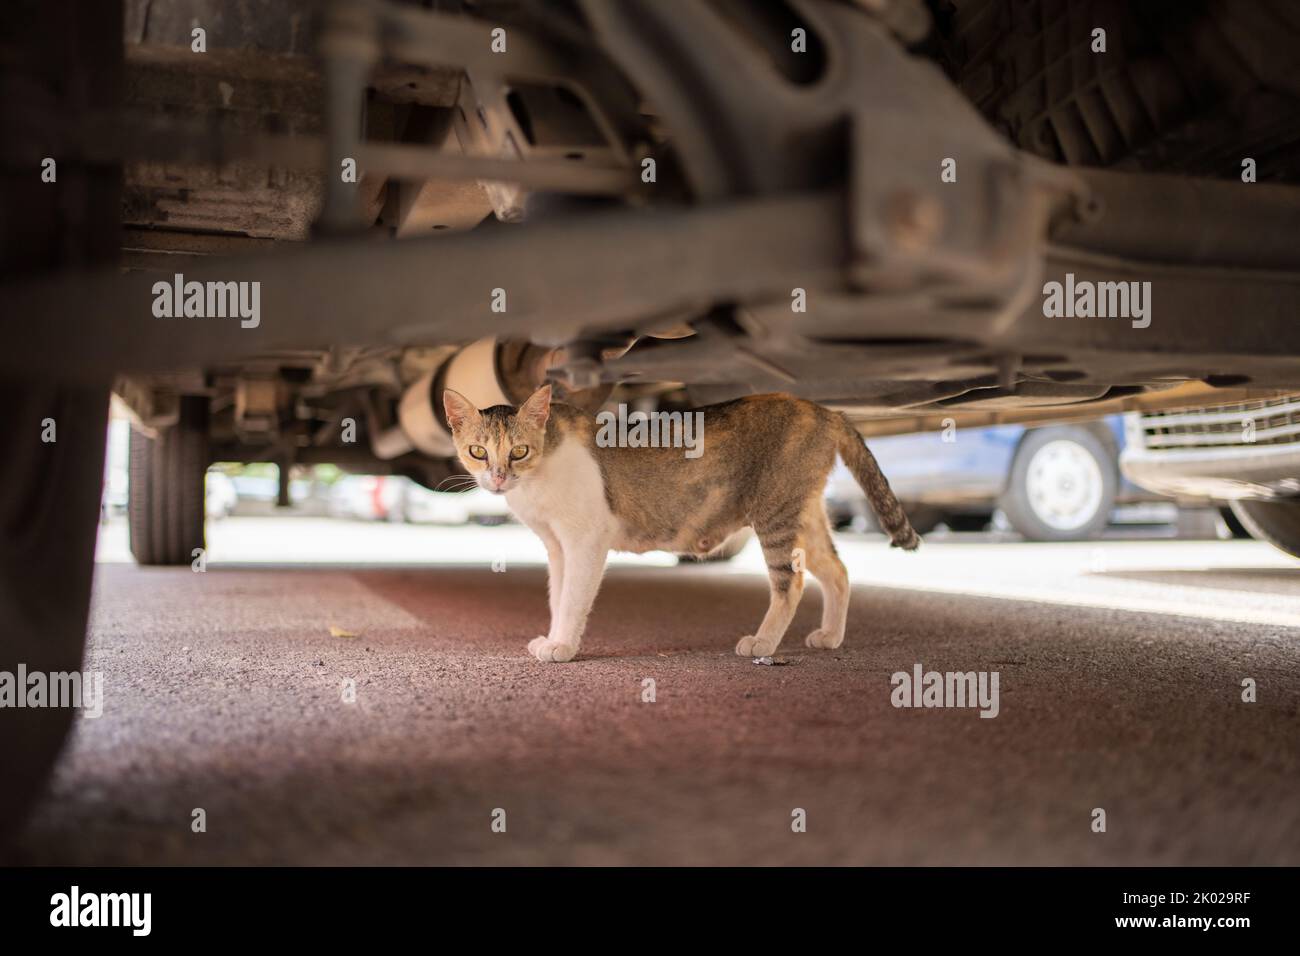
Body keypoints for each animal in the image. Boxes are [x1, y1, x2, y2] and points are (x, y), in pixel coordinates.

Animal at [441, 385, 920, 660]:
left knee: (792, 583)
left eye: (518, 451)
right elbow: (558, 597)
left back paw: (763, 643)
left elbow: (573, 600)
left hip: (776, 514)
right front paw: (554, 637)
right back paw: (831, 636)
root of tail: (824, 410)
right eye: (478, 451)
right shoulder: (557, 547)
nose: (498, 477)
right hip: (802, 514)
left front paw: (562, 646)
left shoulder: (584, 541)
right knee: (837, 571)